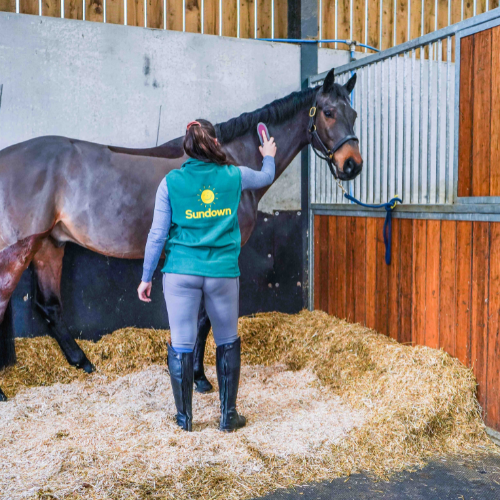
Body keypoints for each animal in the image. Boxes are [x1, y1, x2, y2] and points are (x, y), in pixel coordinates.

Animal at [0, 68, 362, 400]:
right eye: (328, 112)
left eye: (354, 114)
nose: (352, 165)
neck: (227, 160)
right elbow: (203, 319)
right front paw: (200, 377)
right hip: (20, 250)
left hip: (50, 245)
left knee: (49, 307)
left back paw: (83, 362)